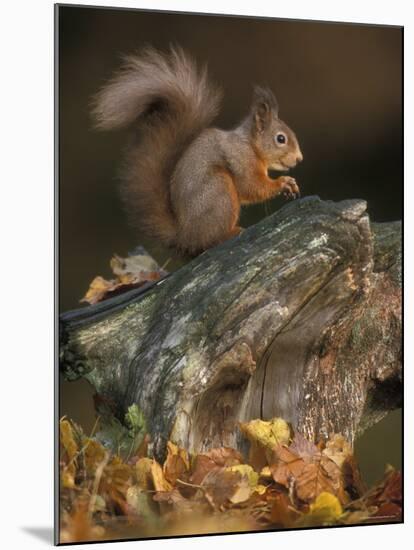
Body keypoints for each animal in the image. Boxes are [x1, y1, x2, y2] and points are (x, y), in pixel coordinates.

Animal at [92, 46, 302, 258]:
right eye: (281, 139)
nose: (299, 159)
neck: (250, 144)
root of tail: (184, 236)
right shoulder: (240, 159)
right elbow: (252, 186)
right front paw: (283, 183)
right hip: (219, 190)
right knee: (208, 241)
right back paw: (231, 233)